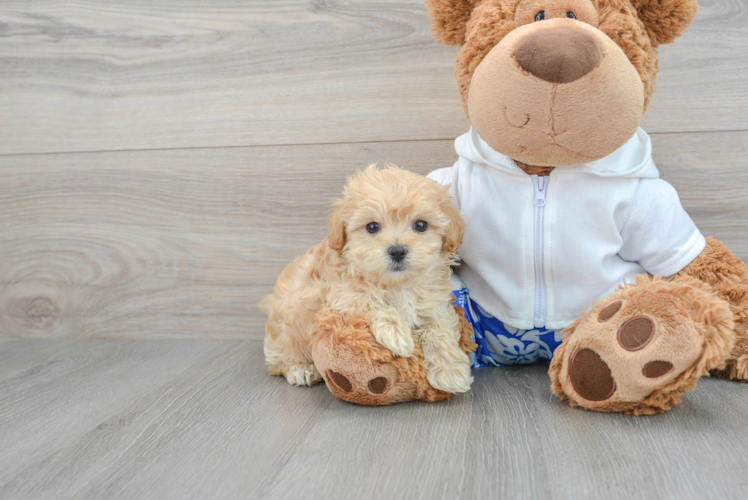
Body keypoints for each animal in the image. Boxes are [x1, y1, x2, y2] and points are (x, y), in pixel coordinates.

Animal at [262, 164, 474, 394]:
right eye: (372, 227)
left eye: (420, 225)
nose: (397, 251)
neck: (397, 285)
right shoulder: (337, 295)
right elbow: (369, 299)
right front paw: (396, 333)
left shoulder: (435, 305)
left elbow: (440, 329)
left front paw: (451, 372)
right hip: (287, 325)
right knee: (280, 359)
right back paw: (301, 369)